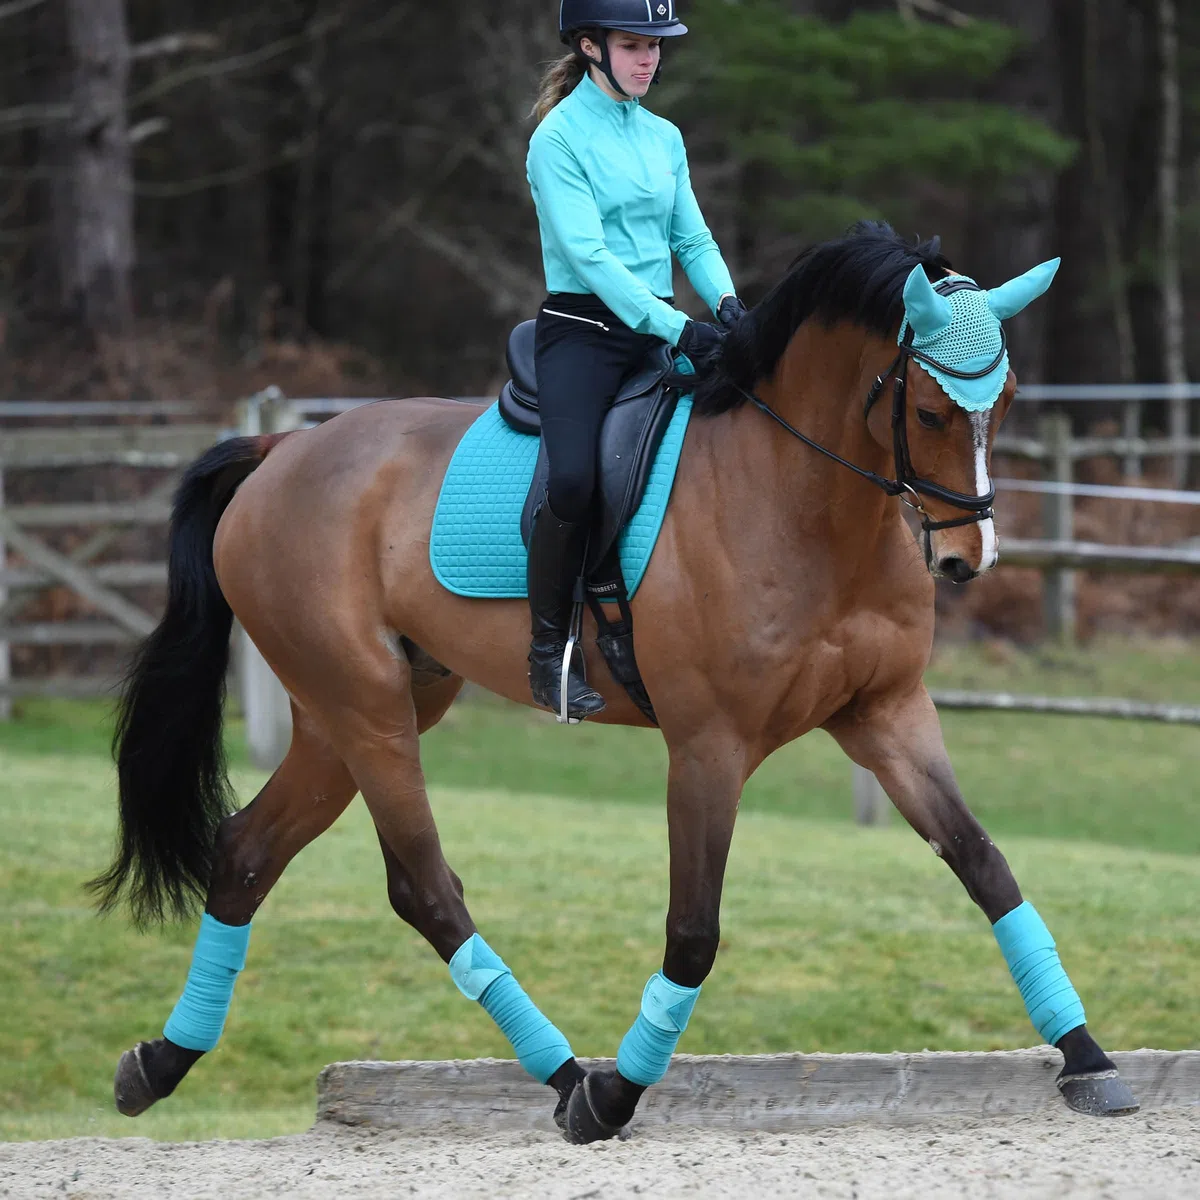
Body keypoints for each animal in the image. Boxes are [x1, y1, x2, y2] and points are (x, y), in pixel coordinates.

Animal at [91, 223, 1138, 1143]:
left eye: (1004, 405)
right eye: (928, 411)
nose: (967, 560)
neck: (801, 500)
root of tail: (280, 452)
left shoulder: (886, 714)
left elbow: (985, 866)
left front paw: (1089, 1061)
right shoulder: (709, 749)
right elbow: (694, 931)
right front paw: (616, 1097)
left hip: (356, 713)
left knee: (246, 854)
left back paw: (159, 1064)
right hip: (368, 711)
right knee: (424, 887)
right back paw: (566, 1080)